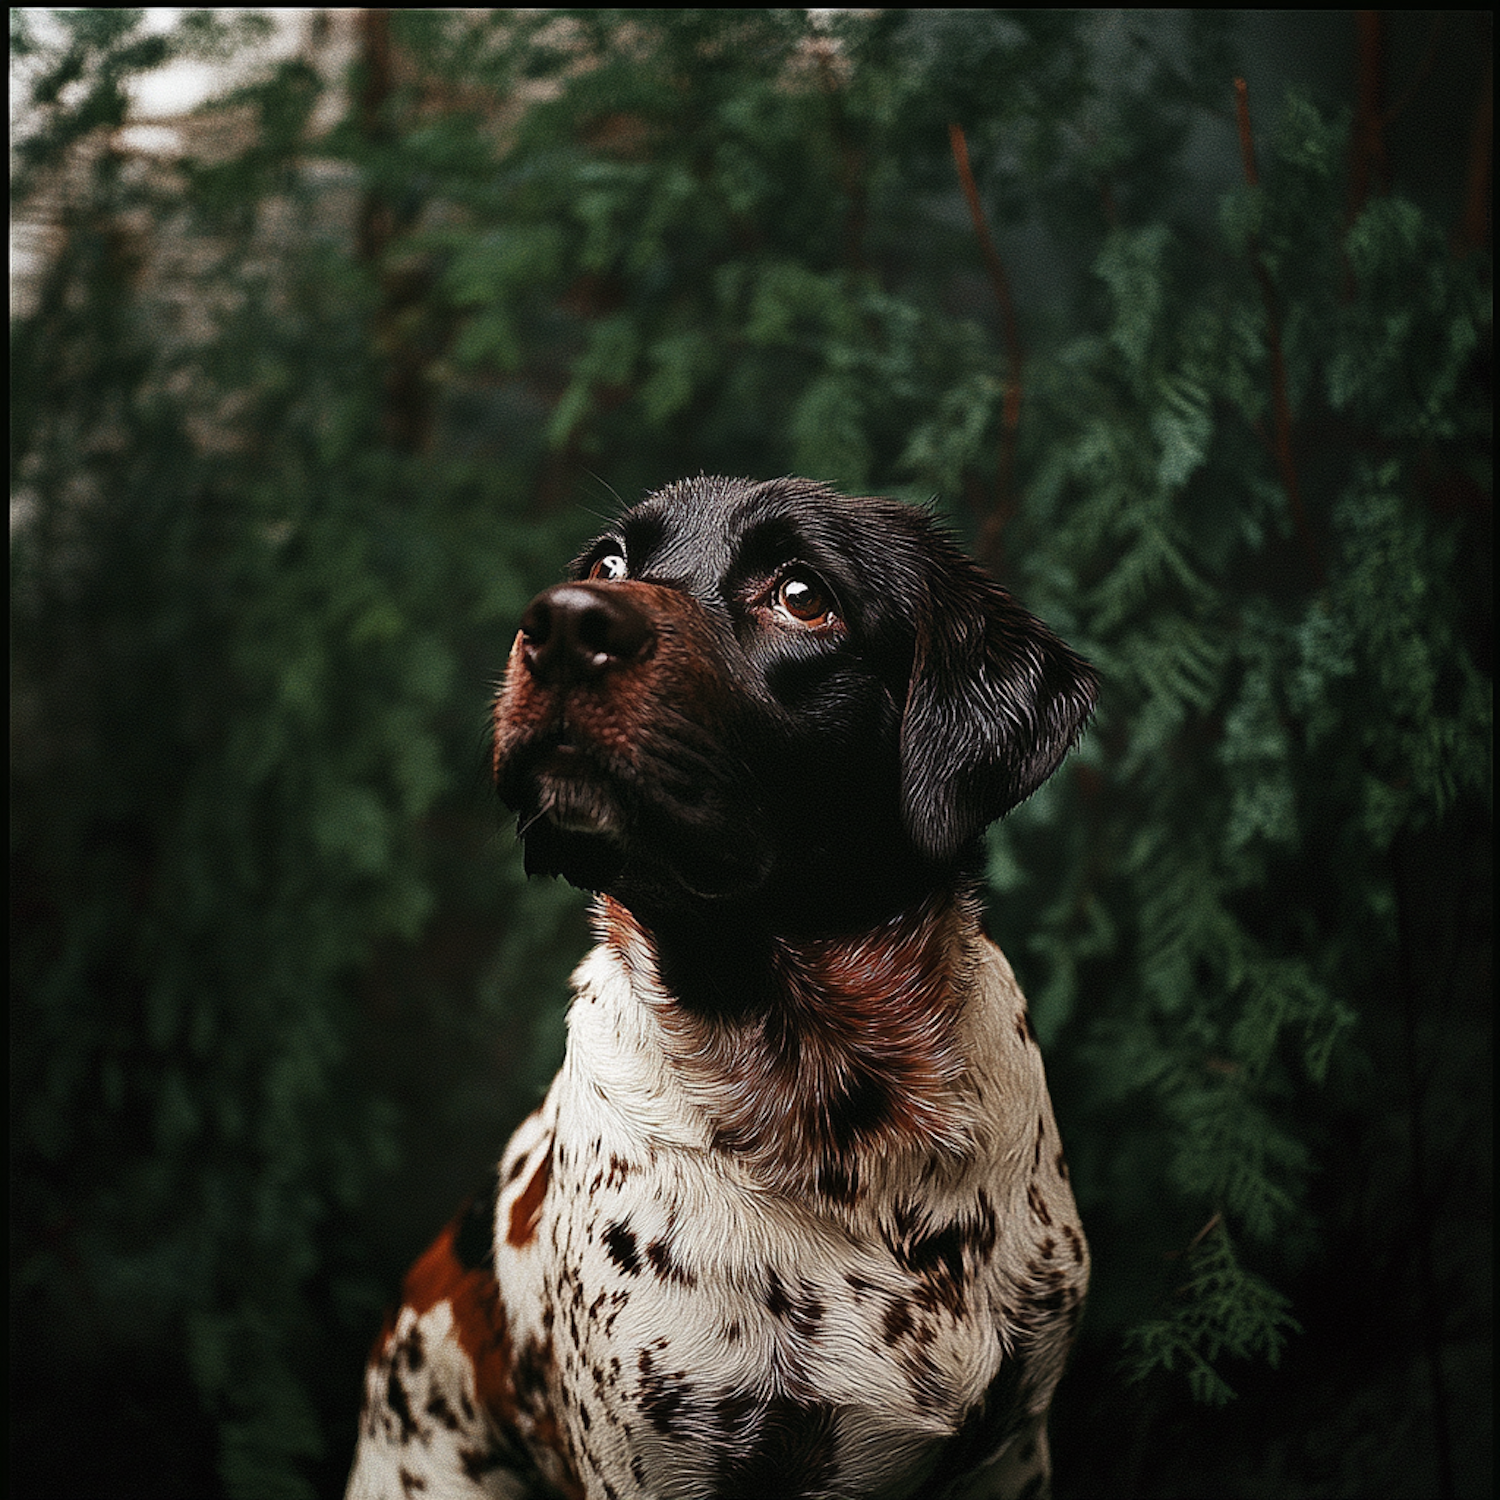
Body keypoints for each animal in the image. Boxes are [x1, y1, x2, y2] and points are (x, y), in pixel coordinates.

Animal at [351, 477, 1104, 1500]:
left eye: (801, 595)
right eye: (608, 562)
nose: (561, 623)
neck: (833, 1099)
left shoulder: (1012, 1450)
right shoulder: (659, 1458)